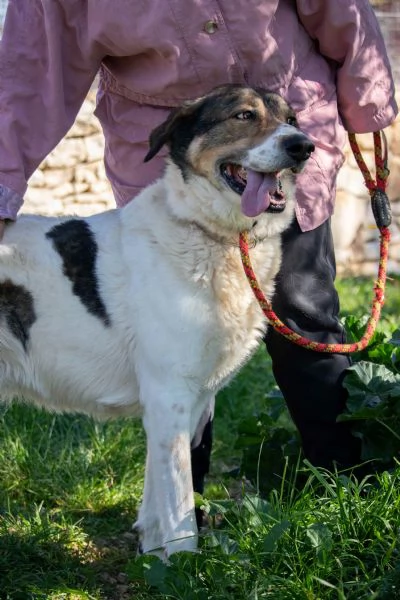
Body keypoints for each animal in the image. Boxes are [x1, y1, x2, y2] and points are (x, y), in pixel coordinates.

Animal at [0, 83, 312, 556]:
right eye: (243, 115)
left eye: (291, 119)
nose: (304, 146)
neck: (214, 237)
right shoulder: (169, 395)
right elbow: (179, 501)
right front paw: (185, 562)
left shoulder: (187, 401)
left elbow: (156, 495)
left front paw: (152, 556)